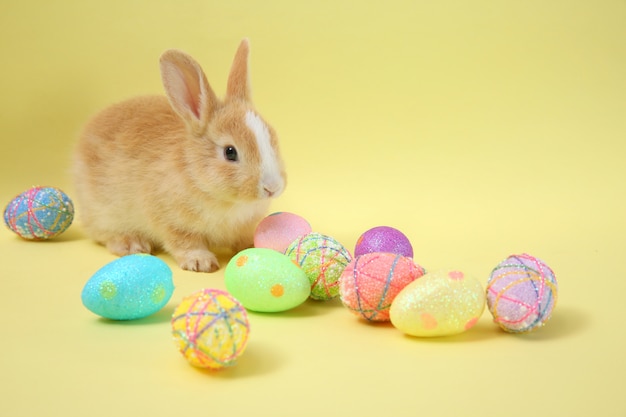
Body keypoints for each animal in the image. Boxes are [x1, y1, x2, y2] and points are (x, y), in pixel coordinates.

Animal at [73, 39, 286, 272]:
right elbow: (185, 242)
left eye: (273, 138)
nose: (272, 188)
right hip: (104, 213)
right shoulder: (172, 222)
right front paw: (201, 262)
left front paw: (257, 248)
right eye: (230, 152)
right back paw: (131, 243)